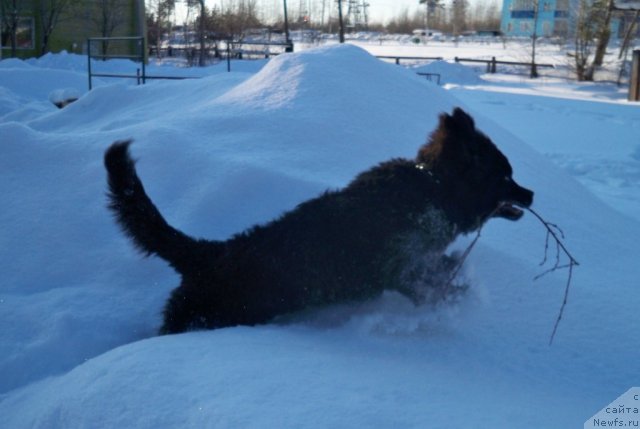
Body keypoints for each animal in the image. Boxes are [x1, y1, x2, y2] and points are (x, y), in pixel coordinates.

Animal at [105, 108, 532, 334]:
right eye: (505, 176)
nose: (531, 195)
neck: (436, 187)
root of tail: (209, 255)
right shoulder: (403, 267)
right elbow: (436, 285)